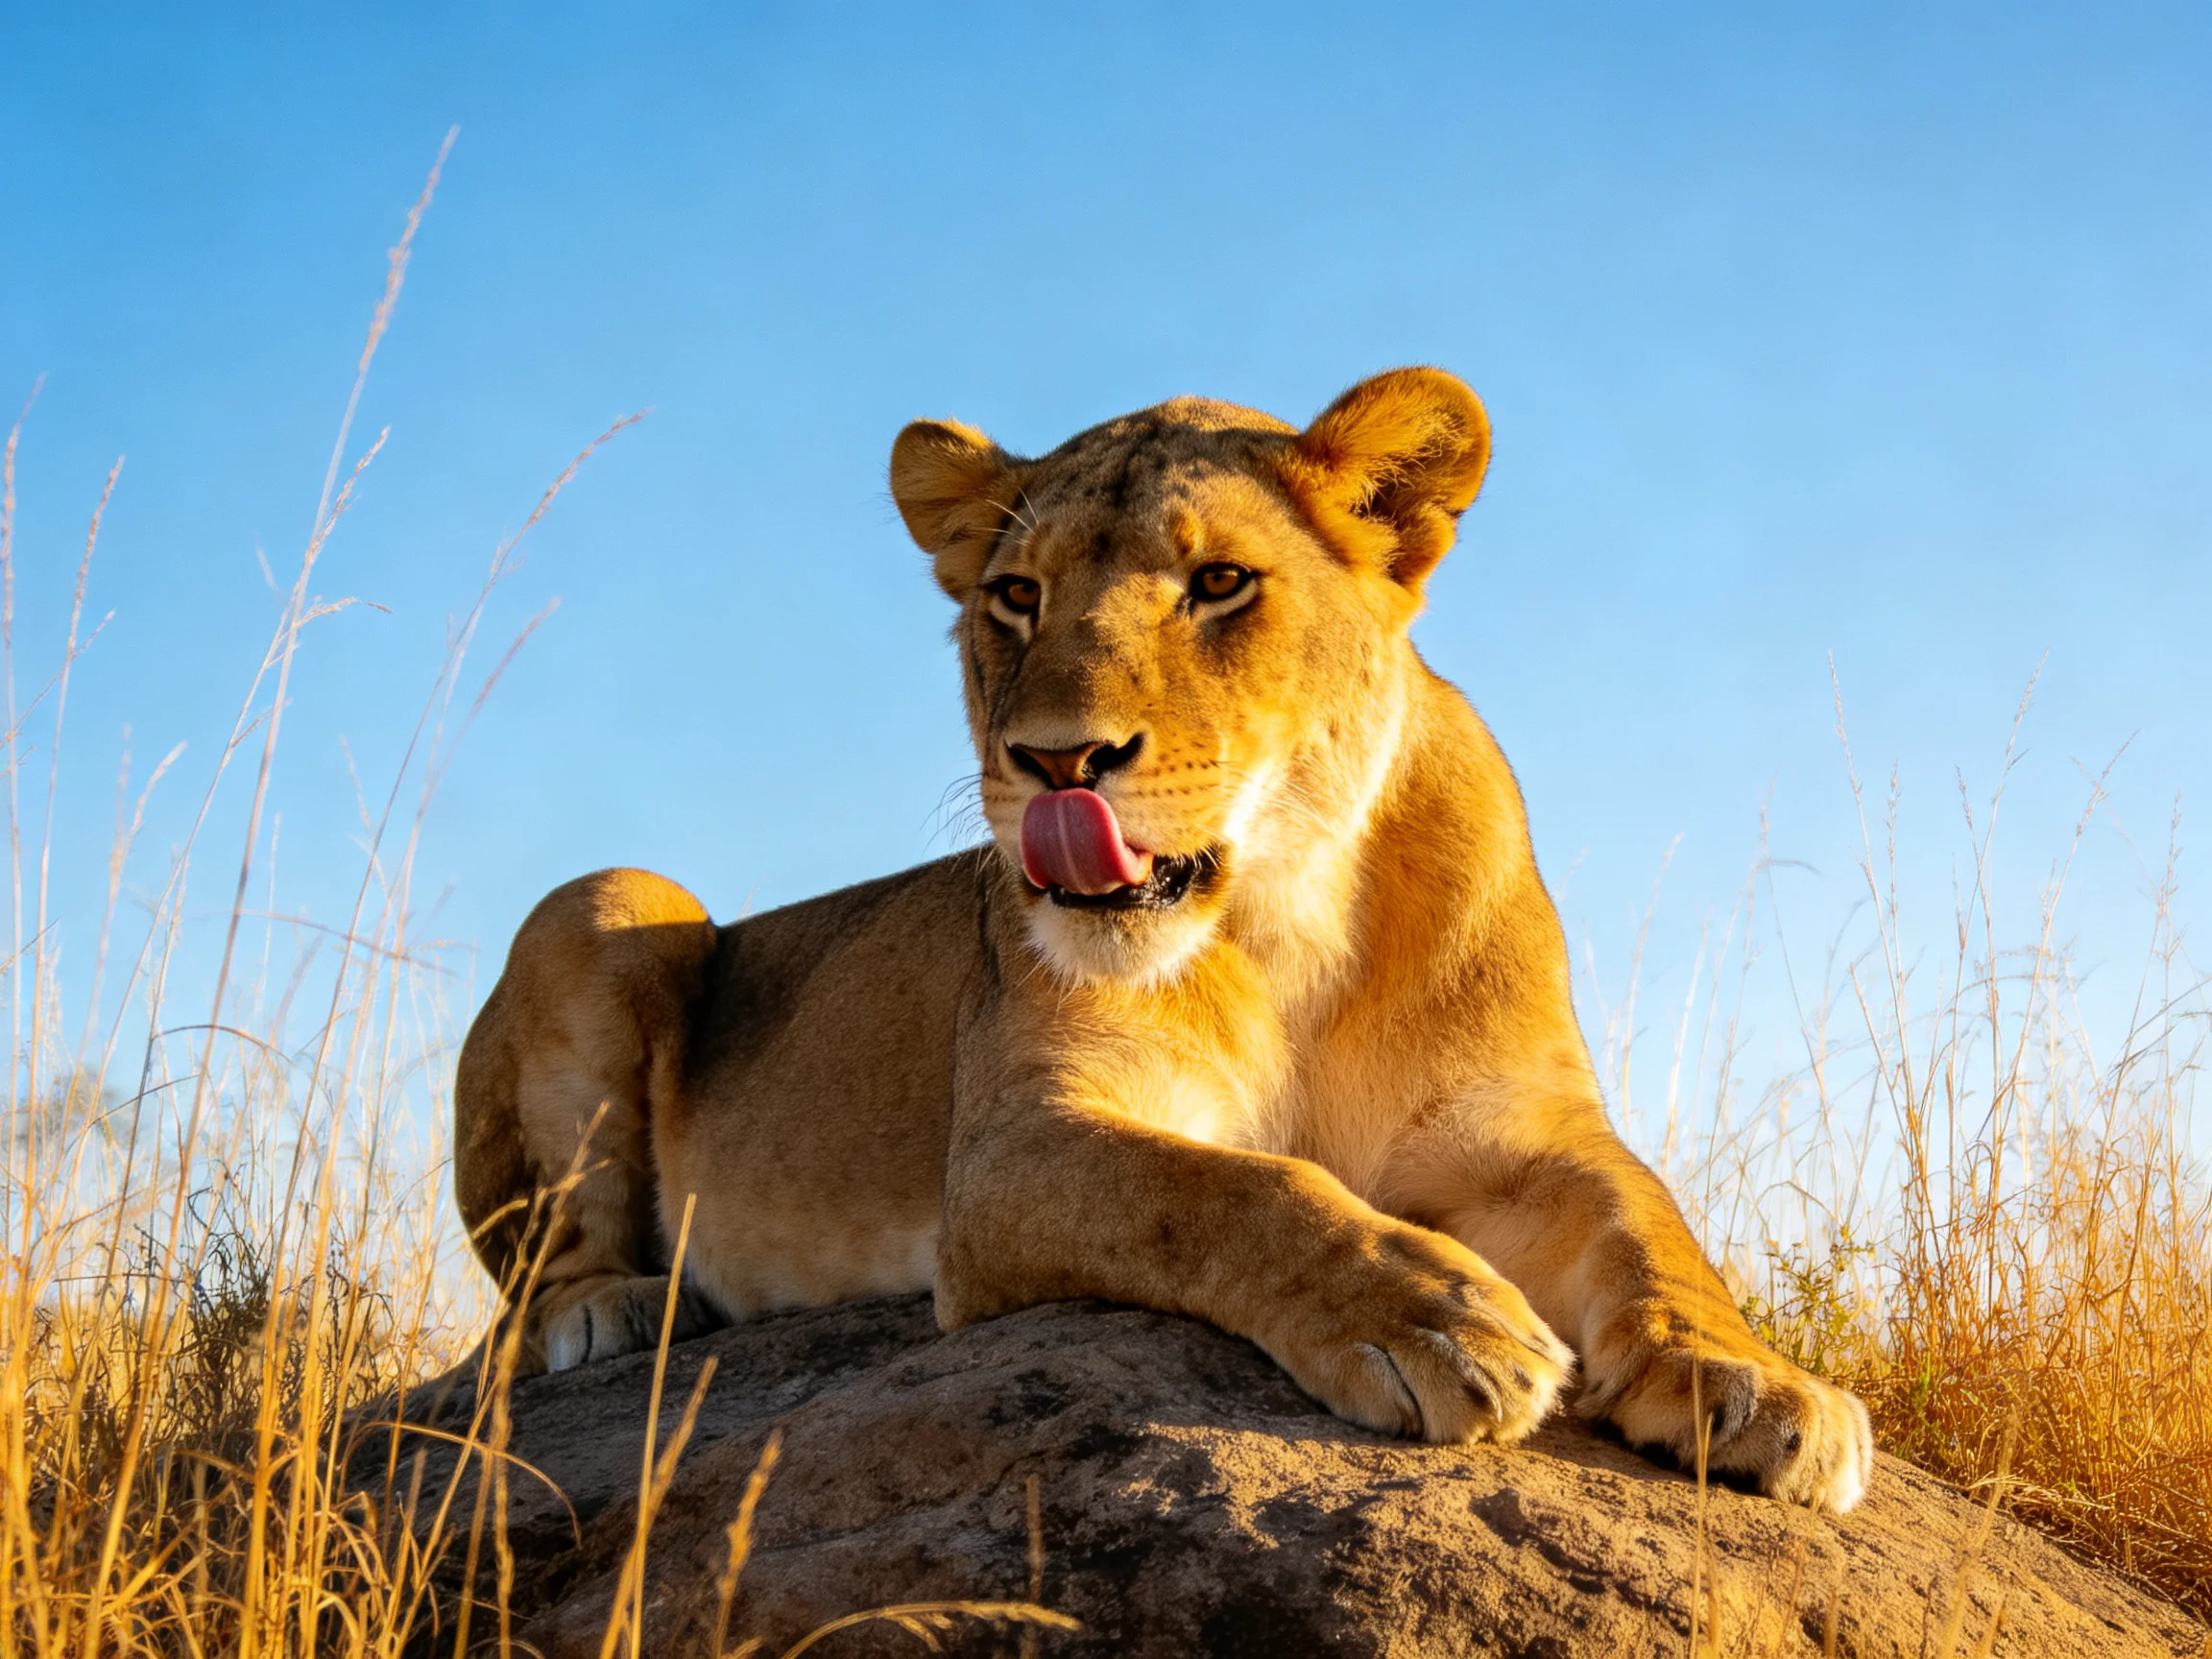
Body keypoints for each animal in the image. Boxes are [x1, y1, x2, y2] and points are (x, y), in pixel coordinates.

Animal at [453, 368, 1873, 1510]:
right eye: (1015, 596)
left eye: (1219, 583)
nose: (1053, 761)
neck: (1294, 918)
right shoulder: (1013, 1154)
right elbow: (1232, 1190)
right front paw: (1442, 1320)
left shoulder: (1521, 1133)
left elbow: (1651, 1224)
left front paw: (1758, 1385)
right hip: (612, 895)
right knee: (536, 1281)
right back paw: (621, 1308)